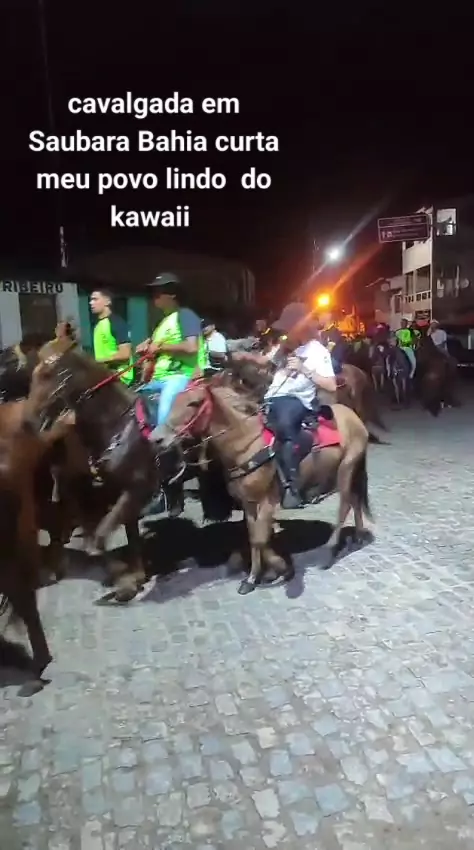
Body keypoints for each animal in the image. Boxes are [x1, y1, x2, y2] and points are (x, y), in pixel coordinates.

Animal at [25, 338, 172, 602]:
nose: (30, 418)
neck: (117, 427)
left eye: (47, 374)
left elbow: (100, 537)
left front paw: (125, 580)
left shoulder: (138, 487)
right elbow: (113, 534)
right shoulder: (109, 490)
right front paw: (132, 577)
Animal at [152, 376, 373, 588]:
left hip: (346, 468)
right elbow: (255, 538)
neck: (244, 445)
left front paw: (281, 569)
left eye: (194, 403)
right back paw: (359, 536)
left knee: (345, 505)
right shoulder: (248, 503)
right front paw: (254, 577)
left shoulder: (267, 500)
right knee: (355, 499)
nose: (157, 438)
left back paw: (329, 552)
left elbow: (260, 539)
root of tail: (352, 415)